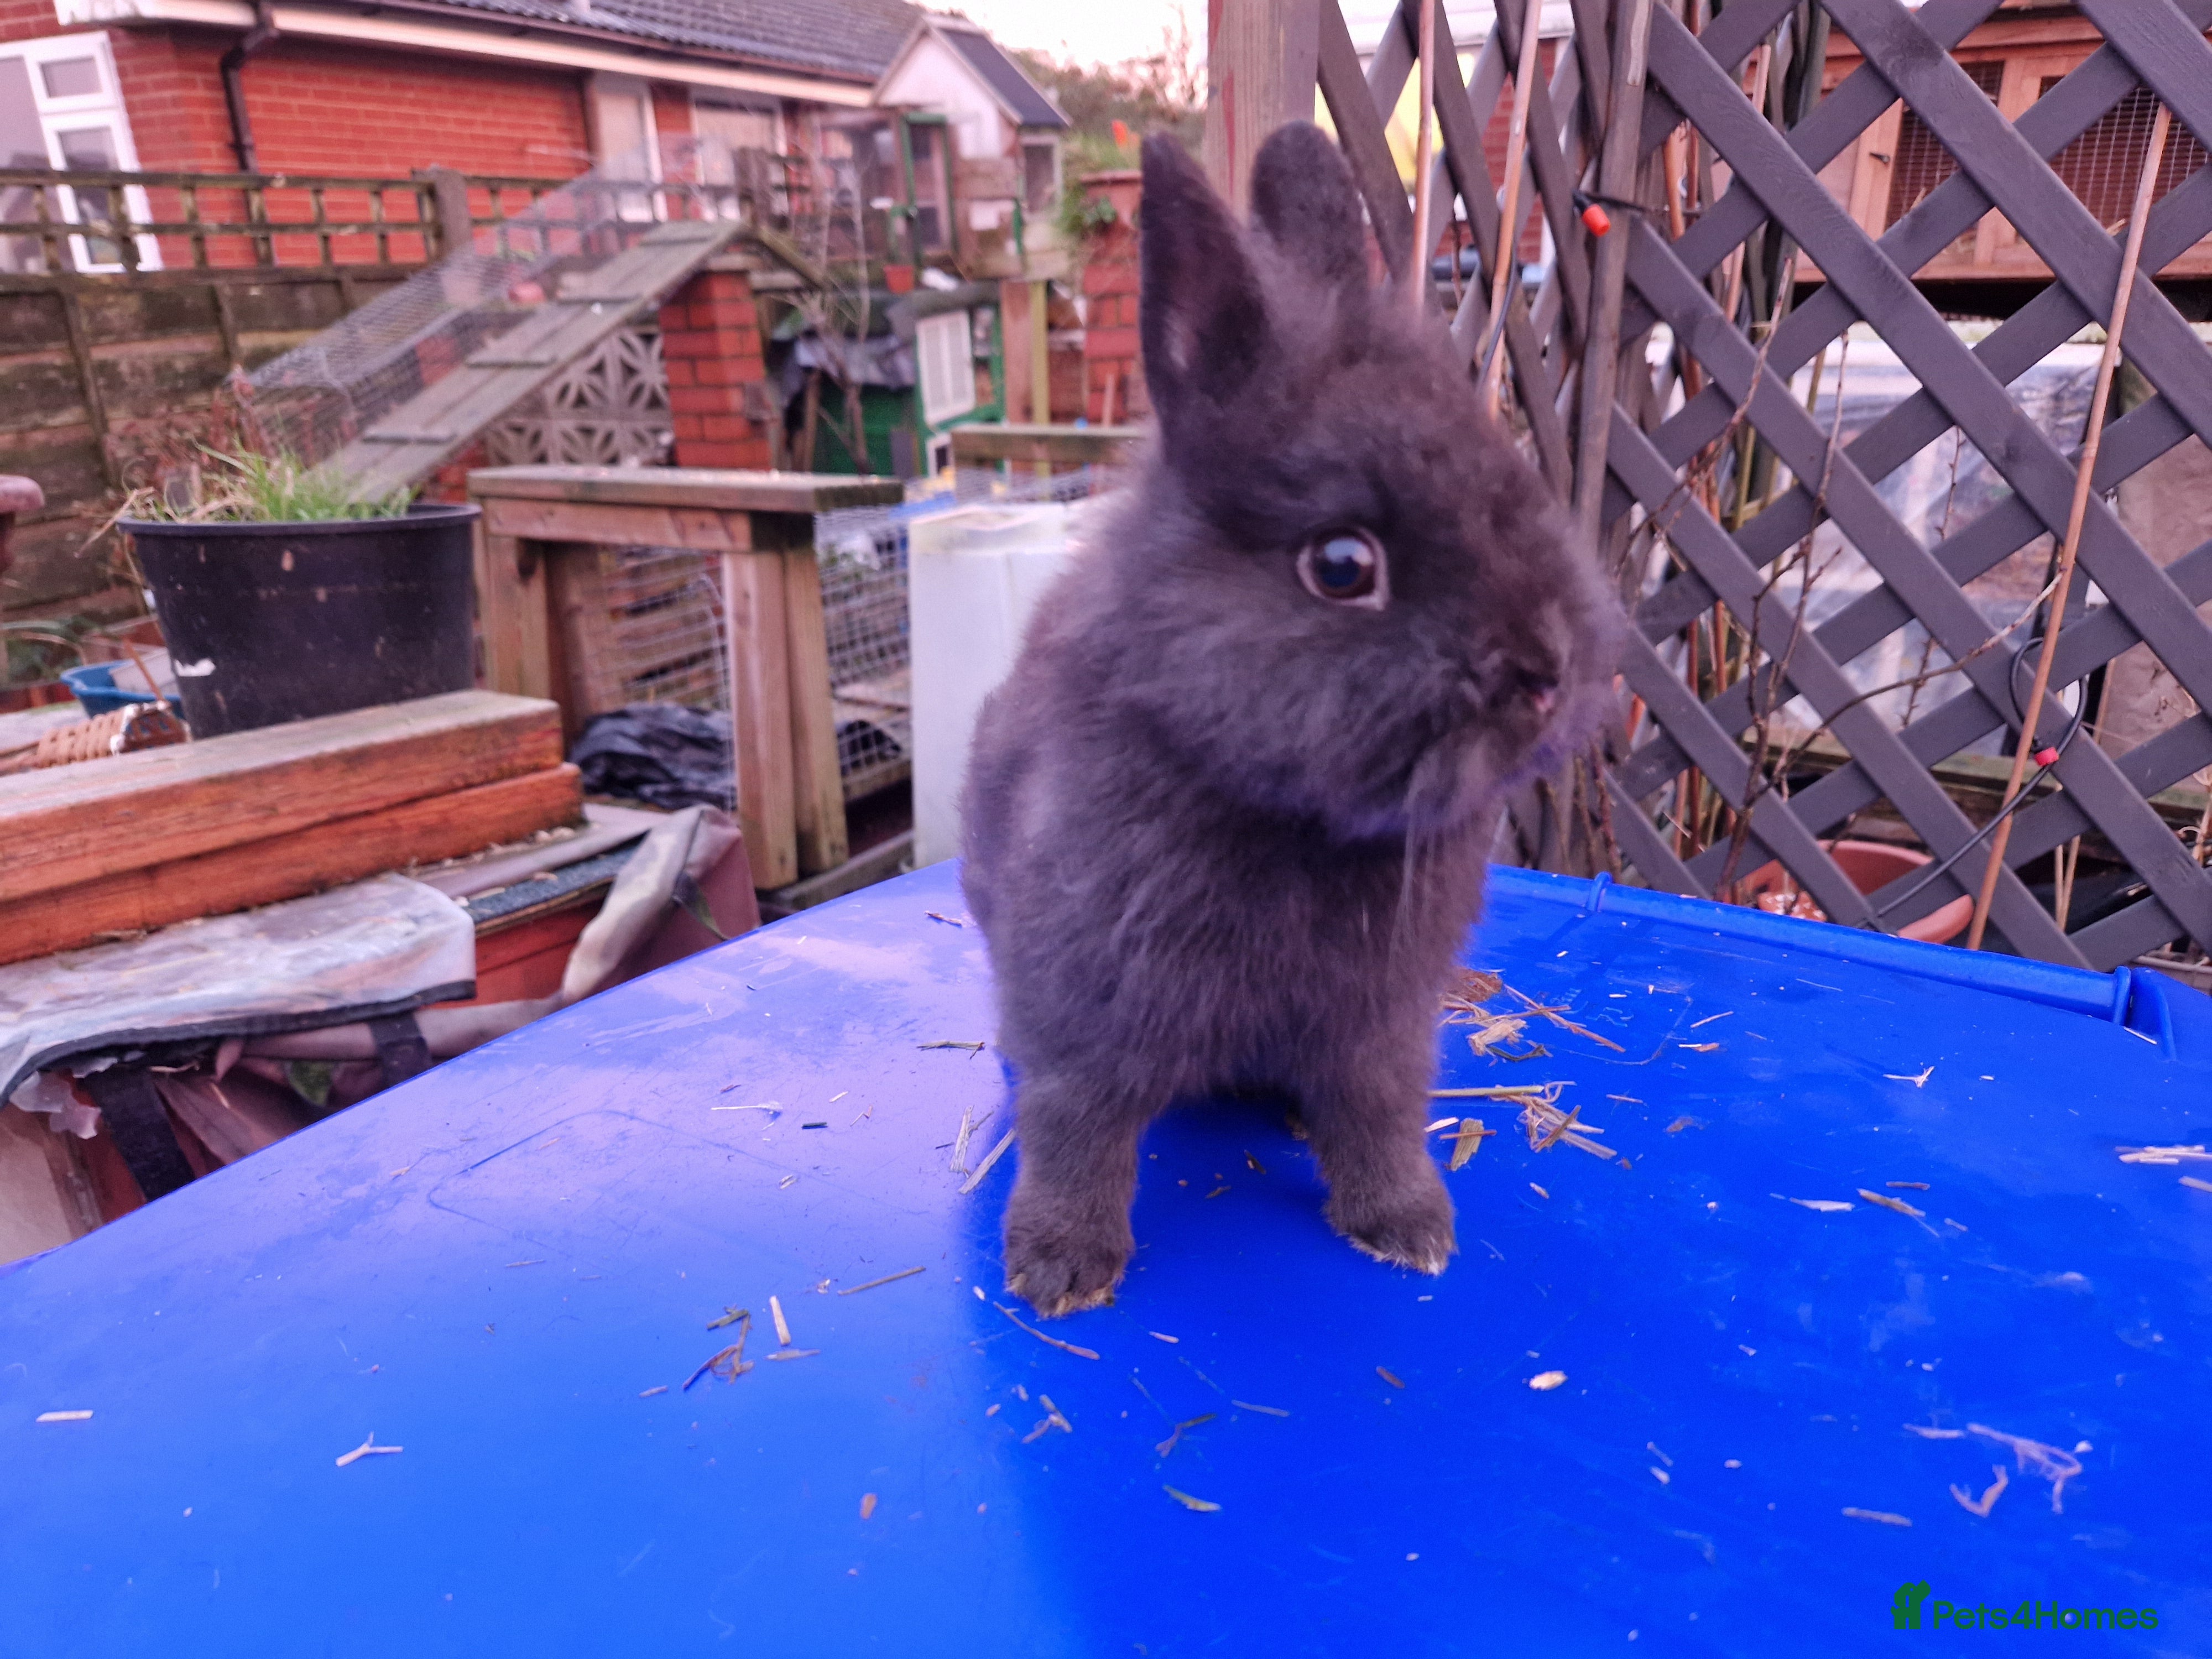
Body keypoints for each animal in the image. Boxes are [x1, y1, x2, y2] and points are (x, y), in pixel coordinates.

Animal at [960, 123, 1621, 1318]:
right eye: (1342, 566)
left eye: (1515, 485)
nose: (1547, 674)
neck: (1293, 820)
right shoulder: (1083, 1011)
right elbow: (1078, 1133)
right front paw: (1059, 1270)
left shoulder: (1379, 1027)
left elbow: (1378, 1120)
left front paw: (1408, 1228)